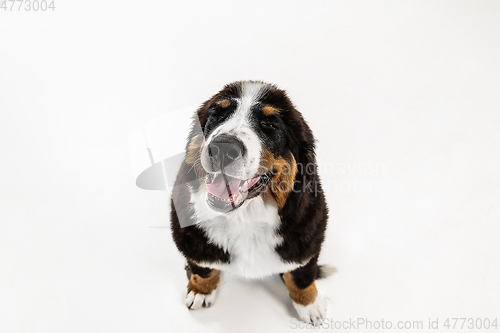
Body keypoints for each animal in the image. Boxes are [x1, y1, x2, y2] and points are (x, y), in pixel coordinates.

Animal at [170, 80, 330, 324]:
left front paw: (309, 305)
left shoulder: (308, 240)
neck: (244, 218)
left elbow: (301, 275)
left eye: (269, 125)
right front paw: (200, 291)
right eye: (218, 115)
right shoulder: (191, 238)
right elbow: (203, 268)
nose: (223, 148)